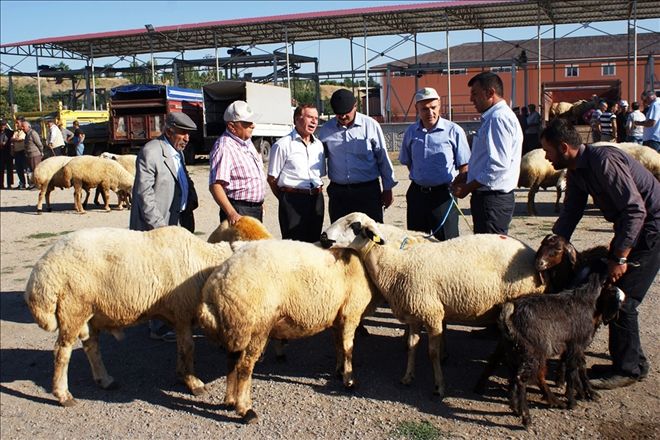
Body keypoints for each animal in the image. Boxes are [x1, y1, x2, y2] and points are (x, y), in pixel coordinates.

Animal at [25, 229, 237, 408]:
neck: (201, 262)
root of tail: (39, 275)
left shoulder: (178, 318)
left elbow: (181, 348)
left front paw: (181, 375)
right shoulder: (182, 312)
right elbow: (188, 348)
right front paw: (193, 382)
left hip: (89, 312)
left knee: (91, 346)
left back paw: (105, 380)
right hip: (72, 308)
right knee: (62, 352)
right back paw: (64, 395)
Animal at [199, 239, 378, 424]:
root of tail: (215, 290)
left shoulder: (337, 319)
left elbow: (339, 347)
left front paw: (339, 370)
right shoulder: (351, 314)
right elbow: (348, 349)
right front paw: (349, 381)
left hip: (236, 329)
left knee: (231, 362)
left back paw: (230, 401)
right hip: (255, 327)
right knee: (244, 367)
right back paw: (245, 409)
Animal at [336, 219, 548, 398]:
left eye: (354, 226)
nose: (327, 238)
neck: (397, 264)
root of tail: (531, 253)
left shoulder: (433, 314)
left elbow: (432, 352)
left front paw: (439, 386)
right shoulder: (415, 314)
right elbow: (412, 346)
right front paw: (407, 377)